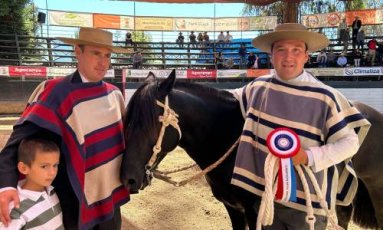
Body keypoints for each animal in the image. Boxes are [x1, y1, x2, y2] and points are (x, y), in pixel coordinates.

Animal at [121, 71, 382, 229]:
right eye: (128, 121)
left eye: (150, 123)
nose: (128, 179)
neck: (227, 135)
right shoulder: (232, 207)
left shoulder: (254, 210)